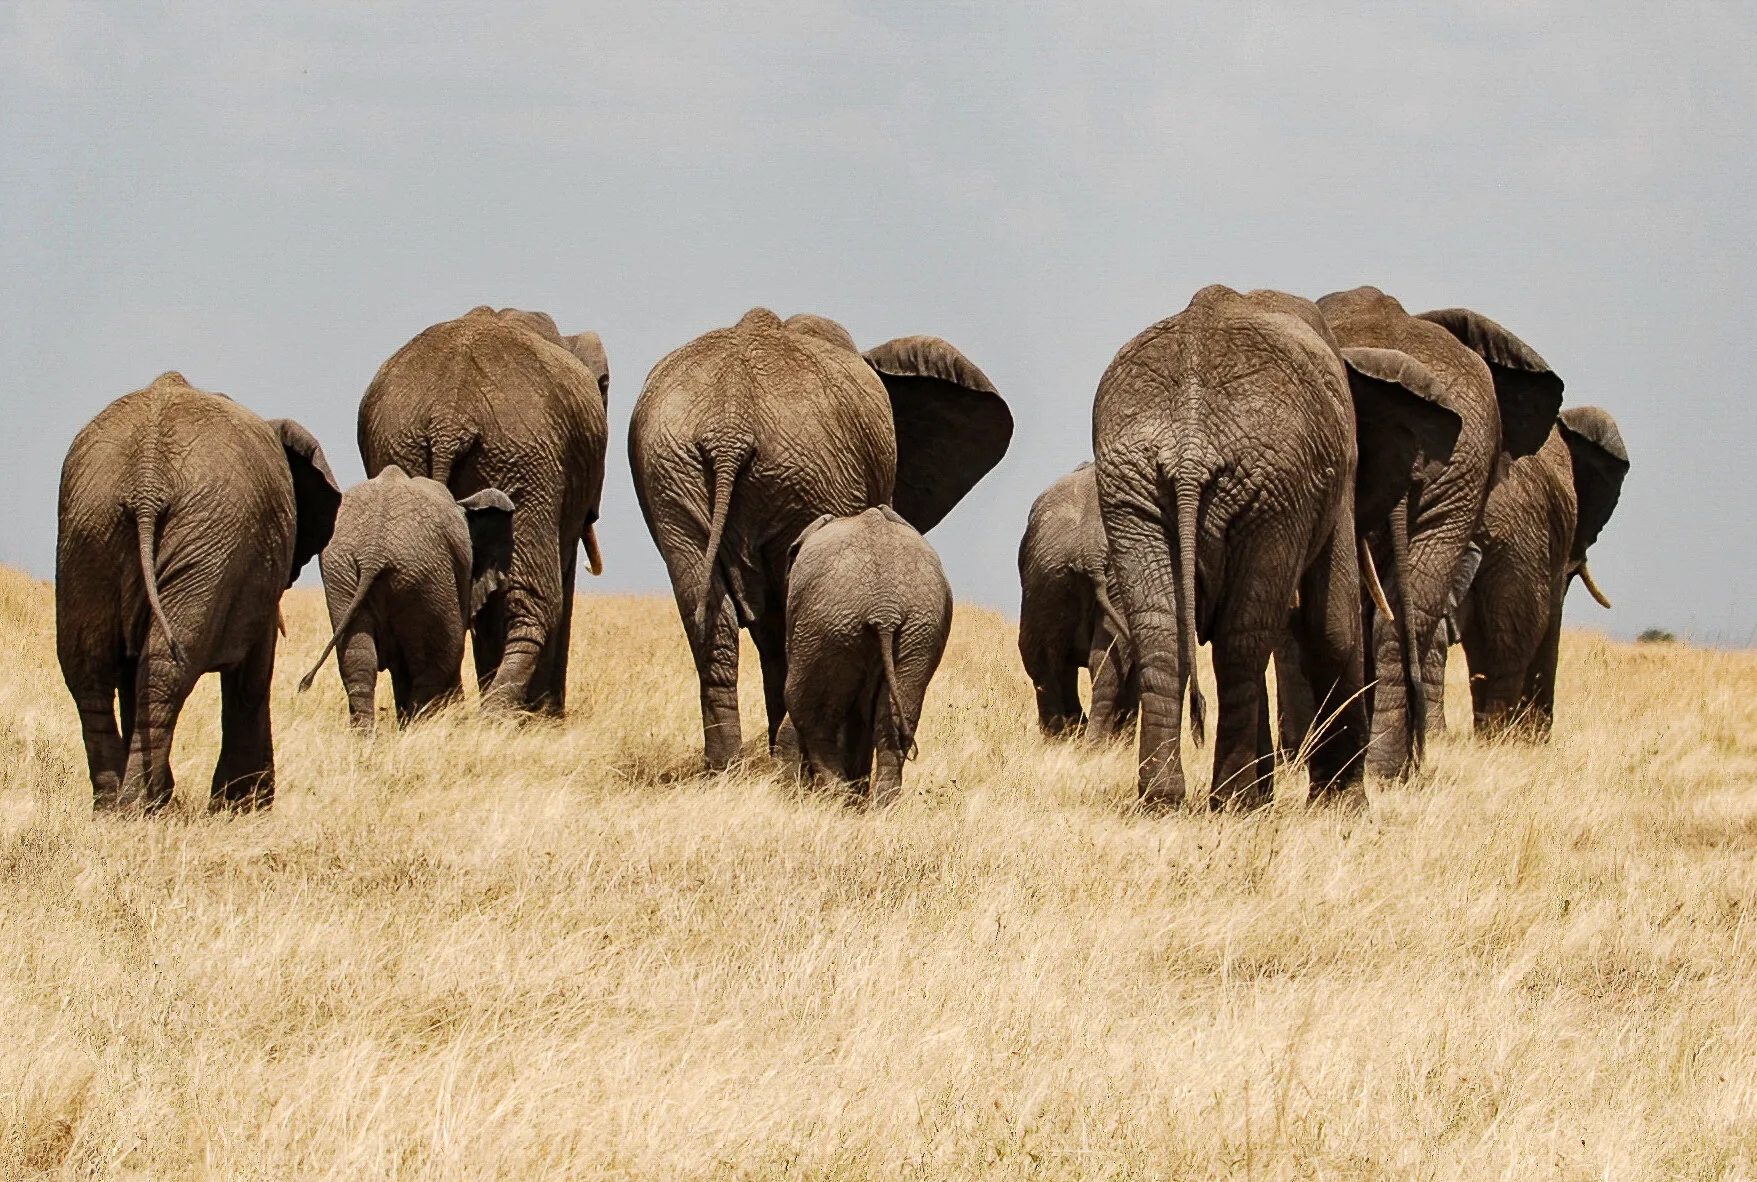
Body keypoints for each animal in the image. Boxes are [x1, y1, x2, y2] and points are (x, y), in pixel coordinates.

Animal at [56, 371, 341, 812]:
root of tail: (148, 477)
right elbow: (252, 678)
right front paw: (245, 808)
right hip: (209, 536)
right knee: (164, 670)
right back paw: (140, 807)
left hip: (90, 527)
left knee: (91, 668)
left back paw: (114, 806)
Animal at [295, 466, 516, 729]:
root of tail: (374, 551)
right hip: (425, 574)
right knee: (440, 659)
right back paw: (415, 727)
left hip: (342, 571)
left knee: (358, 661)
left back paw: (370, 735)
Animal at [358, 306, 609, 715]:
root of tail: (449, 416)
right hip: (524, 462)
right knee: (533, 599)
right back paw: (502, 716)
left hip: (404, 448)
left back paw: (440, 714)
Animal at [783, 506, 952, 805]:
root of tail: (885, 608)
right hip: (919, 629)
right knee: (895, 721)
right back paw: (878, 807)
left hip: (828, 623)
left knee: (808, 711)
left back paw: (838, 801)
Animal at [1093, 286, 1460, 810]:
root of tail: (1190, 445)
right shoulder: (1335, 476)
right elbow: (1332, 625)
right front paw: (1346, 807)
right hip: (1272, 487)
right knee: (1243, 642)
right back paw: (1236, 802)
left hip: (1136, 486)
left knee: (1162, 634)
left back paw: (1164, 800)